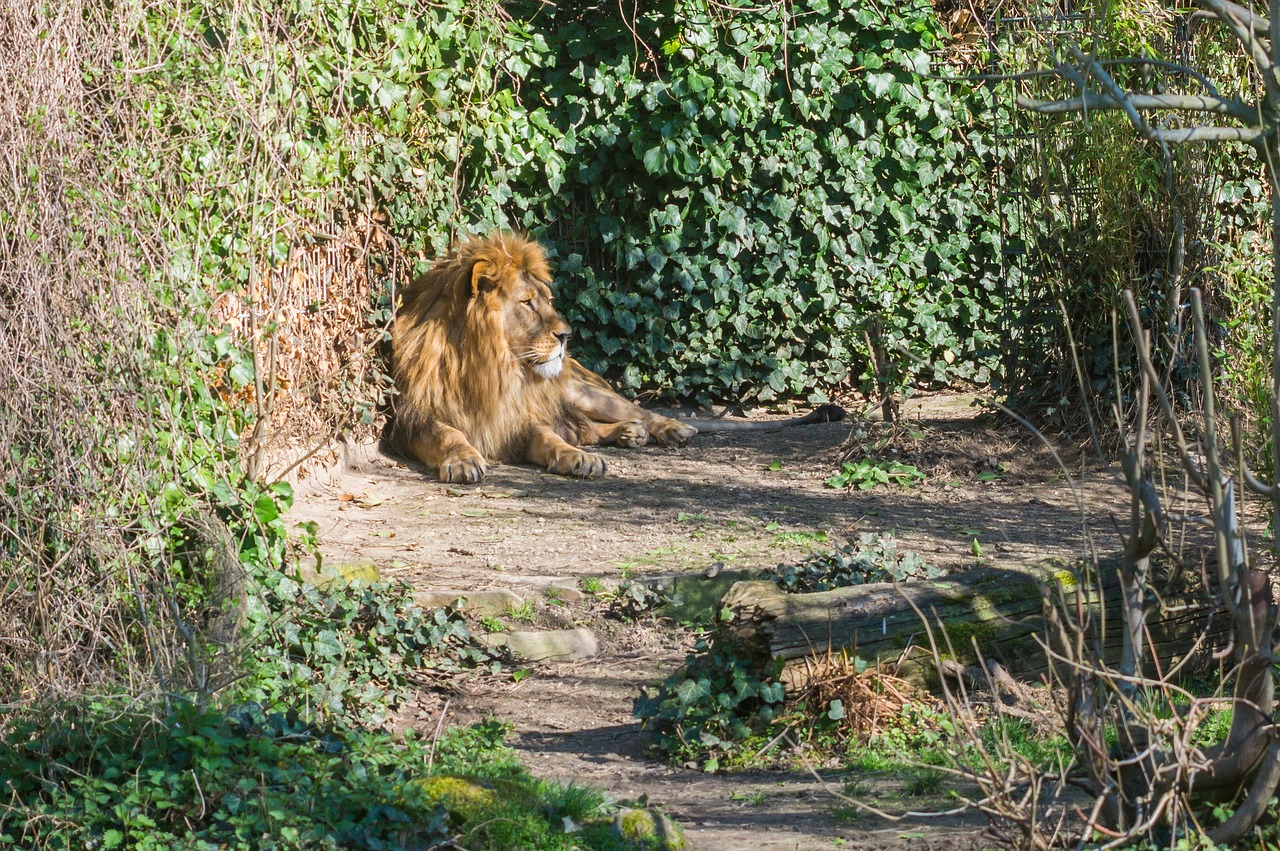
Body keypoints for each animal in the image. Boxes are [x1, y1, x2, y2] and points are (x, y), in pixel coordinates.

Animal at [386, 232, 849, 481]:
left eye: (547, 301)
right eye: (528, 303)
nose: (566, 336)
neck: (491, 366)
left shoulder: (519, 417)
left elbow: (550, 437)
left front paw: (576, 459)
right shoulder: (412, 417)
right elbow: (448, 434)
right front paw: (464, 460)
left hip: (584, 391)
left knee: (636, 411)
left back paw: (667, 429)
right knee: (589, 428)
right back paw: (627, 435)